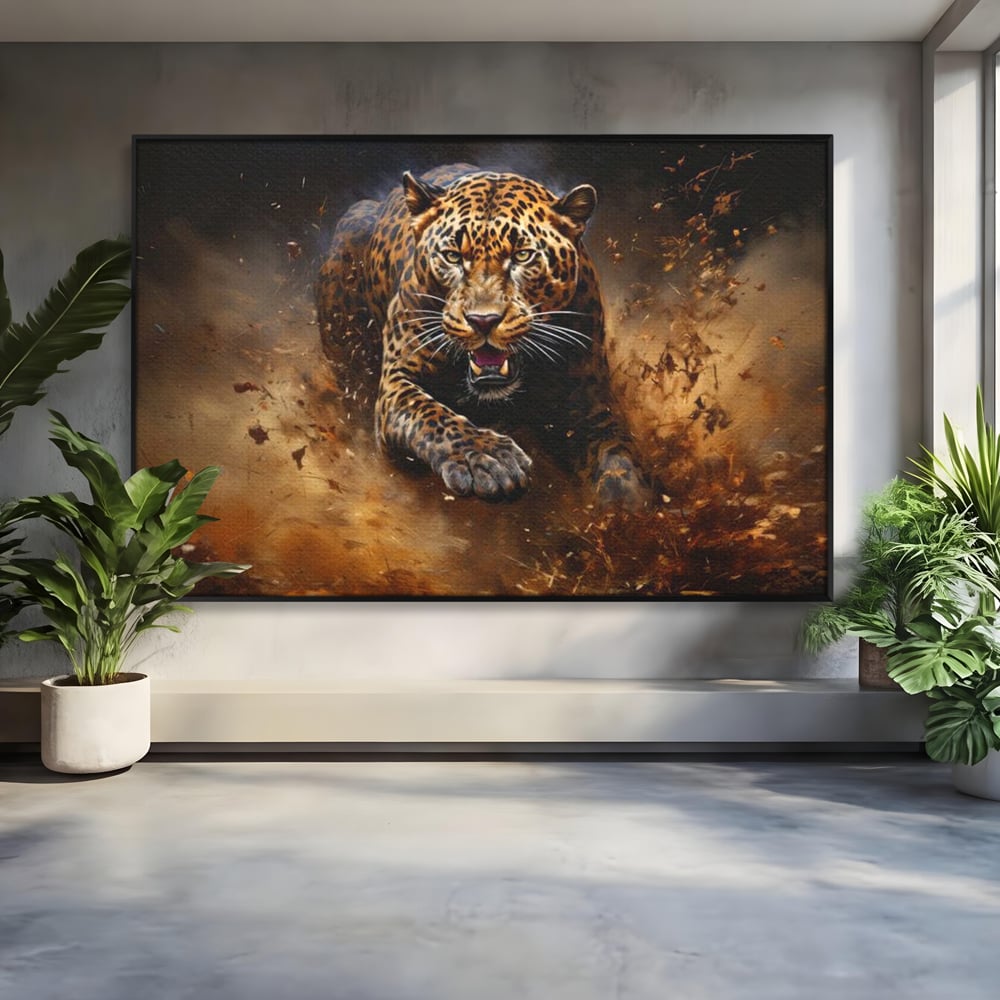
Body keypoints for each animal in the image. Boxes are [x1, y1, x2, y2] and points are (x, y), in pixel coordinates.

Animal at [316, 163, 648, 507]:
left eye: (522, 256)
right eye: (452, 256)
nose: (483, 320)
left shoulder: (588, 404)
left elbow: (618, 456)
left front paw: (630, 503)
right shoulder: (397, 381)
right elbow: (432, 415)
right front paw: (490, 460)